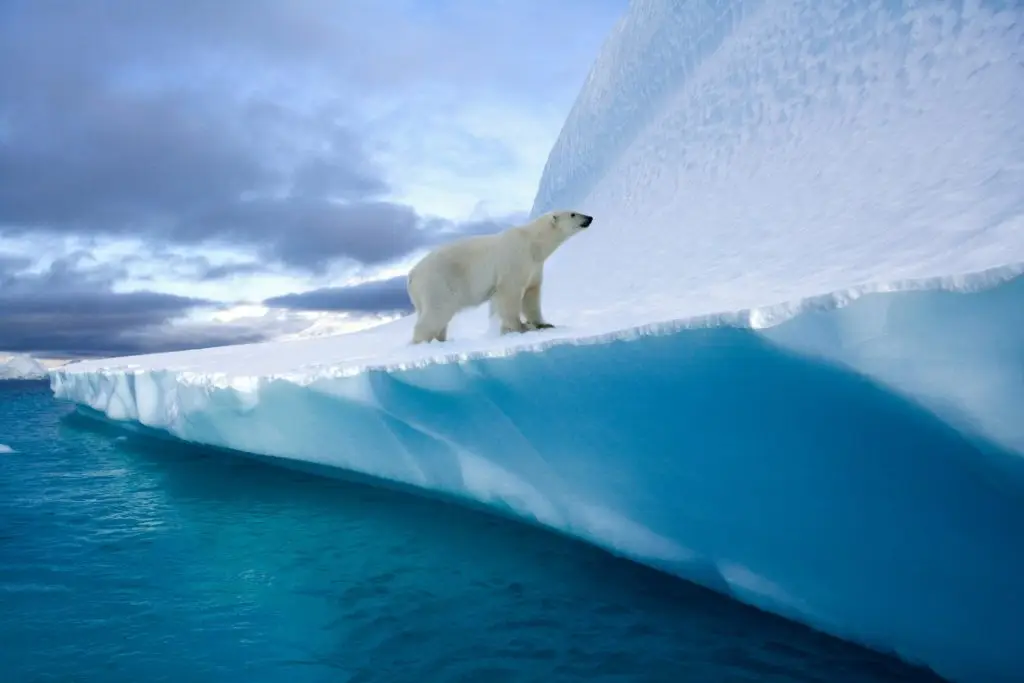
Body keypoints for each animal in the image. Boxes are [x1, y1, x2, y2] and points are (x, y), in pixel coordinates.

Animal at [406, 209, 594, 344]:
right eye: (573, 213)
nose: (590, 217)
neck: (533, 243)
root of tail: (412, 275)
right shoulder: (515, 259)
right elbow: (509, 294)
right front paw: (521, 327)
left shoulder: (534, 266)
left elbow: (531, 294)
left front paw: (544, 324)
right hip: (438, 282)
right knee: (438, 311)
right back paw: (421, 342)